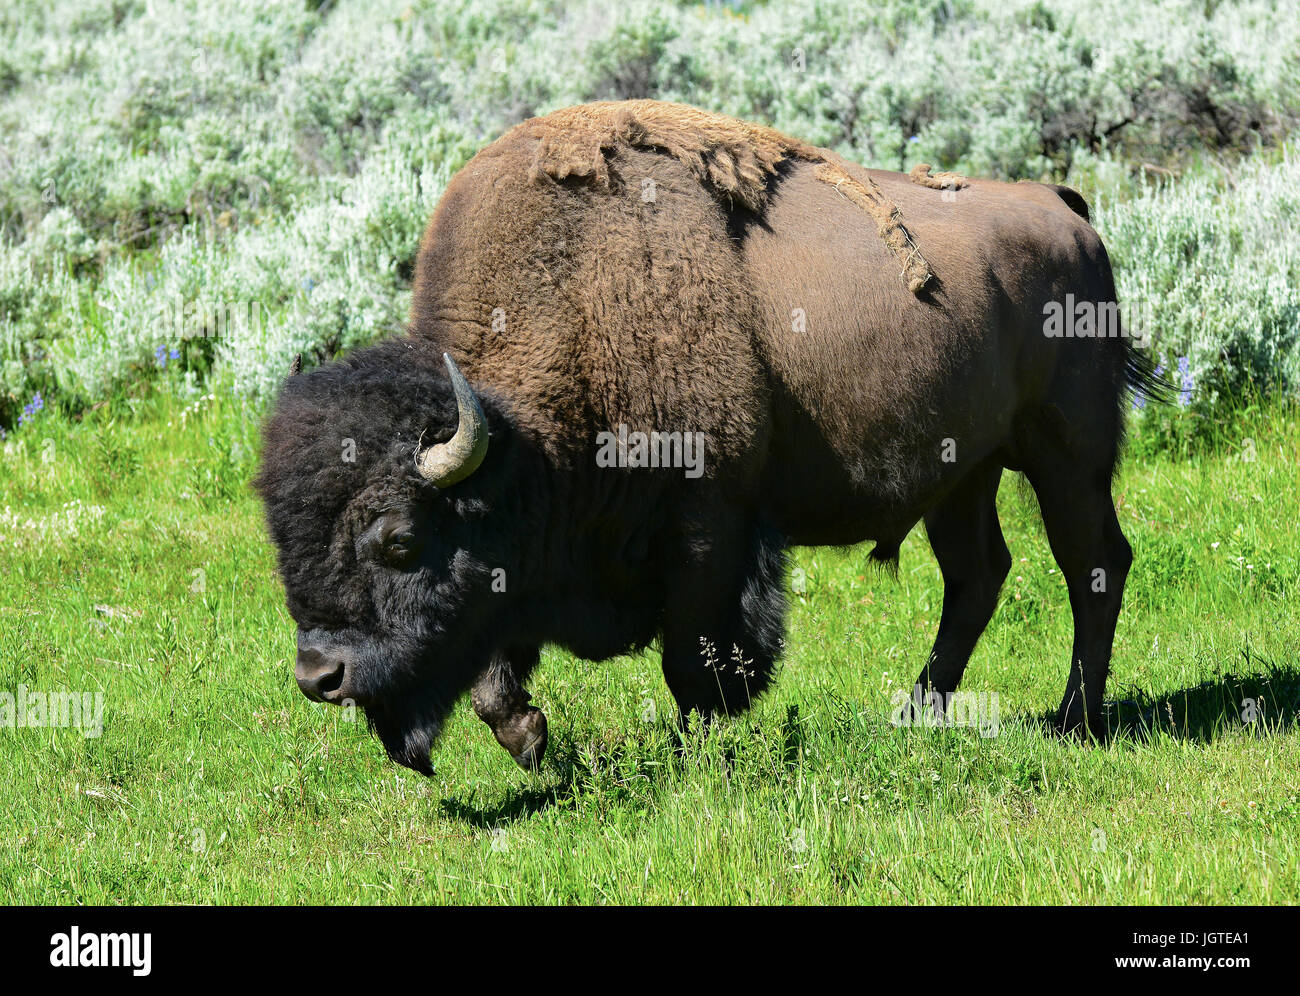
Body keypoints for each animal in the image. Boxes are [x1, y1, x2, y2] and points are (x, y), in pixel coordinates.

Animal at [253, 101, 1159, 774]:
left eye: (401, 540)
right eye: (282, 540)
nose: (319, 676)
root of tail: (1062, 207)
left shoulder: (707, 521)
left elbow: (692, 659)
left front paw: (702, 754)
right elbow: (495, 670)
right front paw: (533, 741)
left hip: (1067, 452)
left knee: (1094, 564)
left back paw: (1076, 721)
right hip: (962, 474)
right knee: (978, 575)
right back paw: (915, 713)